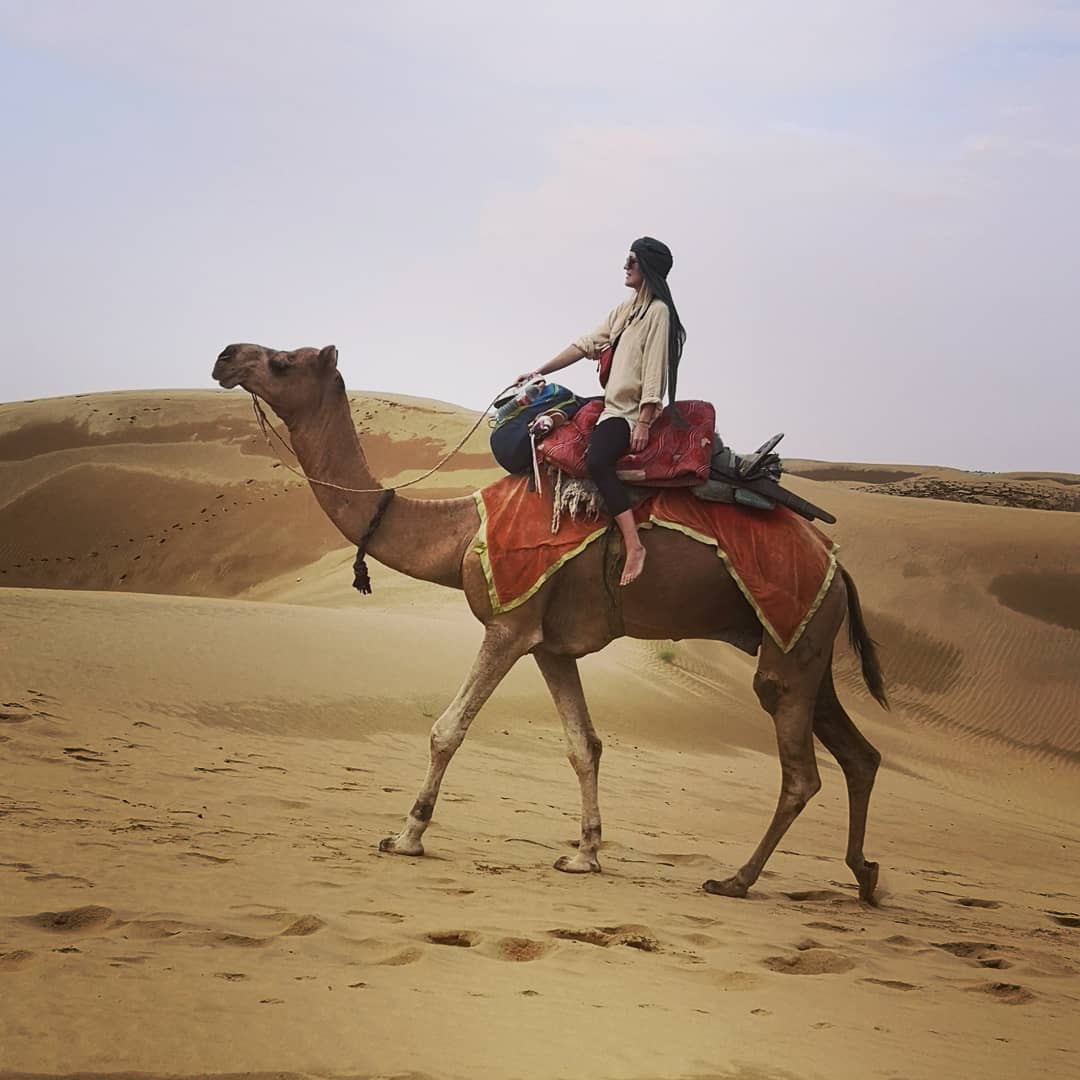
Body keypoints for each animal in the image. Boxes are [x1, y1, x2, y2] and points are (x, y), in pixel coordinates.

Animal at [214, 341, 889, 898]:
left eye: (282, 362)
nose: (225, 356)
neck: (458, 531)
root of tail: (838, 566)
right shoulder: (551, 645)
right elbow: (583, 745)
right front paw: (585, 855)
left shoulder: (509, 626)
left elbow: (447, 729)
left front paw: (406, 837)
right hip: (804, 644)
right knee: (859, 755)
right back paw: (863, 875)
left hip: (792, 639)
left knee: (801, 773)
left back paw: (737, 880)